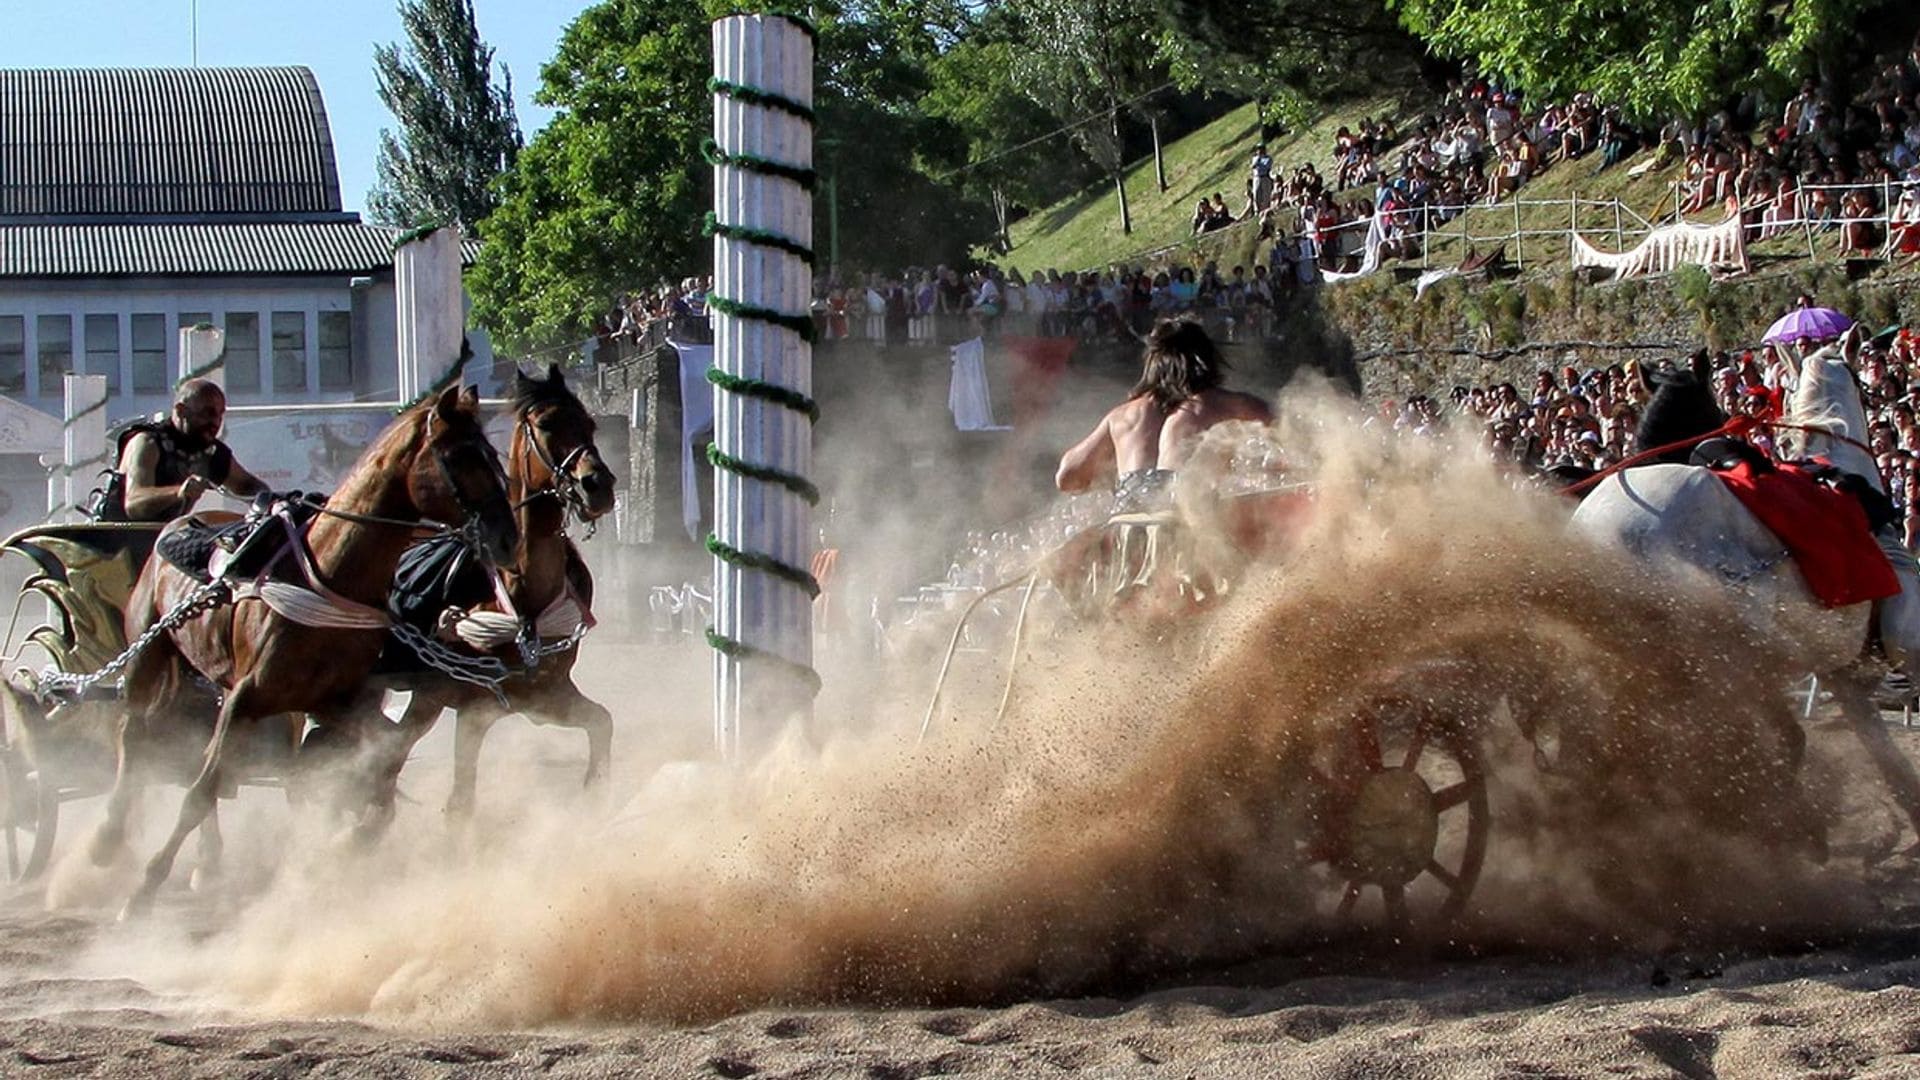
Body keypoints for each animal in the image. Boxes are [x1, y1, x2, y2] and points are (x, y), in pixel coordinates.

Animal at [94, 382, 518, 910]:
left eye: (492, 455)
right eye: (460, 457)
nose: (508, 539)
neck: (328, 574)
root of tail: (174, 529)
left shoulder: (337, 701)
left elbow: (383, 767)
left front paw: (349, 840)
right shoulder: (246, 699)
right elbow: (201, 789)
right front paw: (145, 887)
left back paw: (205, 859)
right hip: (148, 655)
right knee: (133, 732)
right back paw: (109, 837)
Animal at [370, 365, 618, 818]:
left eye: (589, 423)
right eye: (546, 423)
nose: (597, 485)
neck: (523, 600)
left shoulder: (547, 697)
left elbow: (601, 722)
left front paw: (594, 792)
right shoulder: (470, 710)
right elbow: (460, 803)